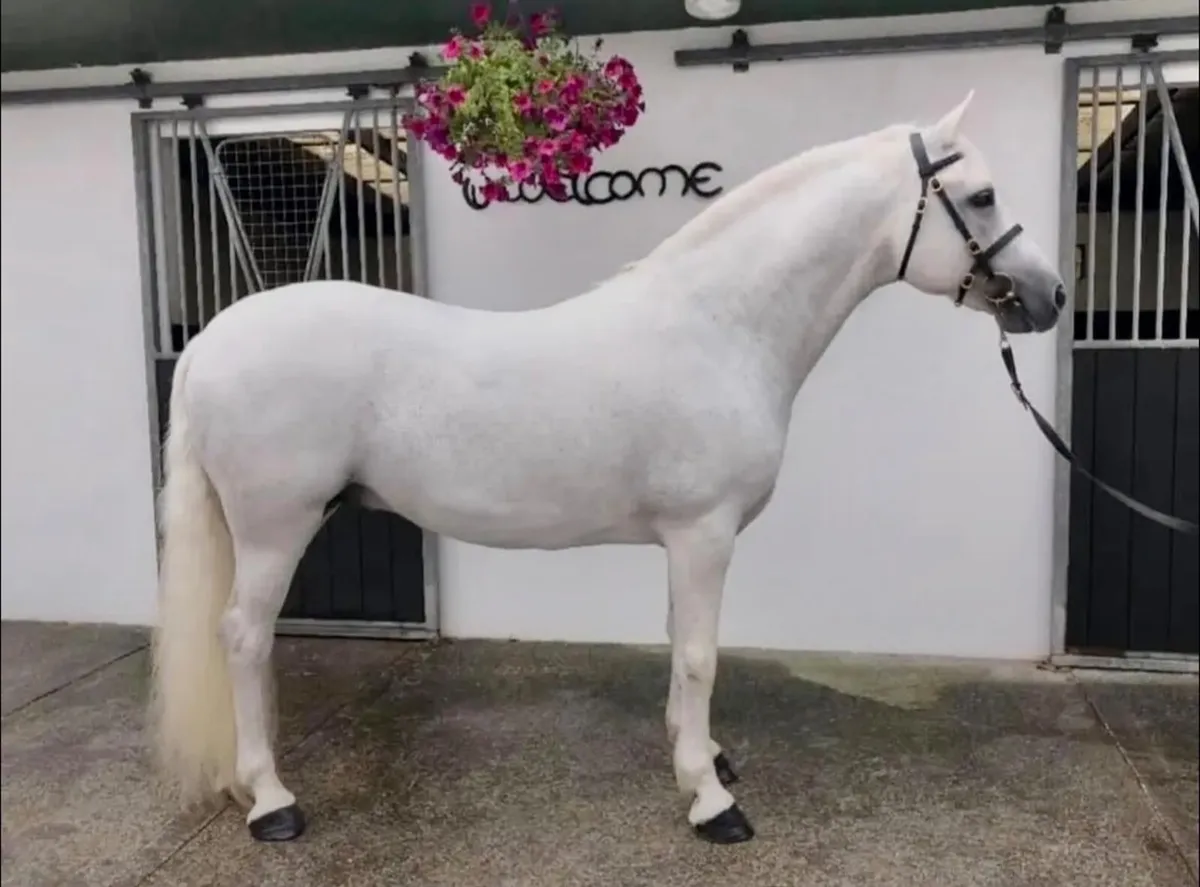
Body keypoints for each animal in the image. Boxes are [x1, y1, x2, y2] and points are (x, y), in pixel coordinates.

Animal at [149, 91, 1067, 847]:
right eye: (983, 196)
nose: (1051, 296)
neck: (721, 325)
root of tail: (211, 340)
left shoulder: (684, 541)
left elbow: (677, 643)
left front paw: (704, 757)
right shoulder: (705, 533)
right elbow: (699, 655)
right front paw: (712, 803)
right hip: (276, 526)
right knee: (243, 637)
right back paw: (272, 801)